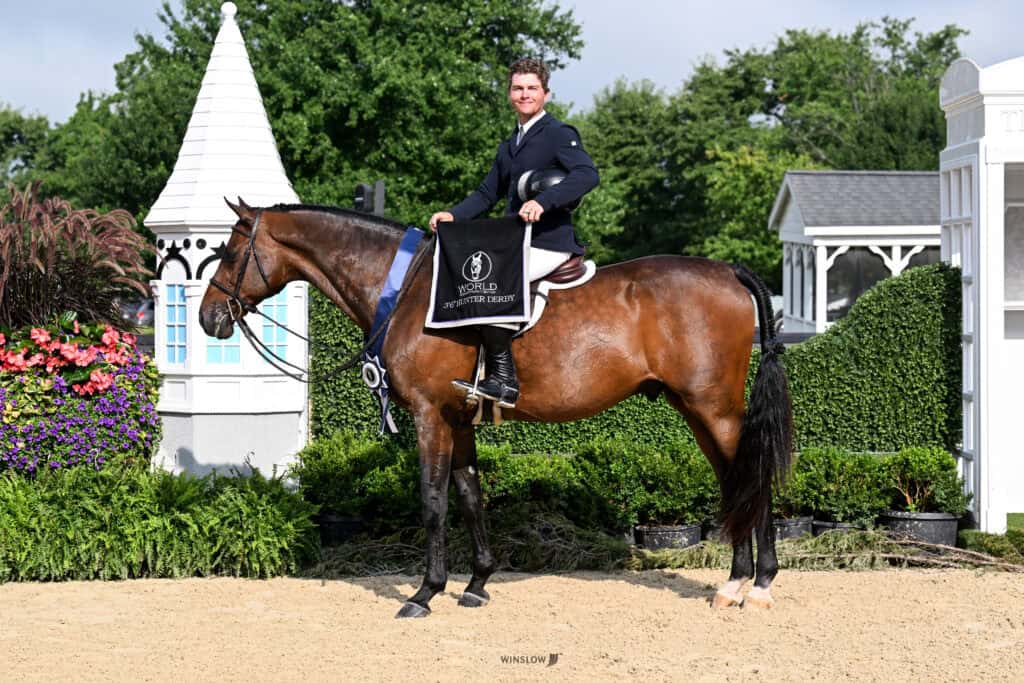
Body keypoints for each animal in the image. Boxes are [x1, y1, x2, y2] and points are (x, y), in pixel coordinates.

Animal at [199, 199, 793, 617]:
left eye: (228, 252)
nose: (209, 318)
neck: (408, 291)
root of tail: (728, 271)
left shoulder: (429, 415)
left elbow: (433, 500)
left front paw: (425, 591)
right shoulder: (459, 419)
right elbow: (469, 494)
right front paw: (478, 582)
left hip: (713, 407)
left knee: (752, 478)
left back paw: (759, 585)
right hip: (696, 408)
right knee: (734, 479)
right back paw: (737, 583)